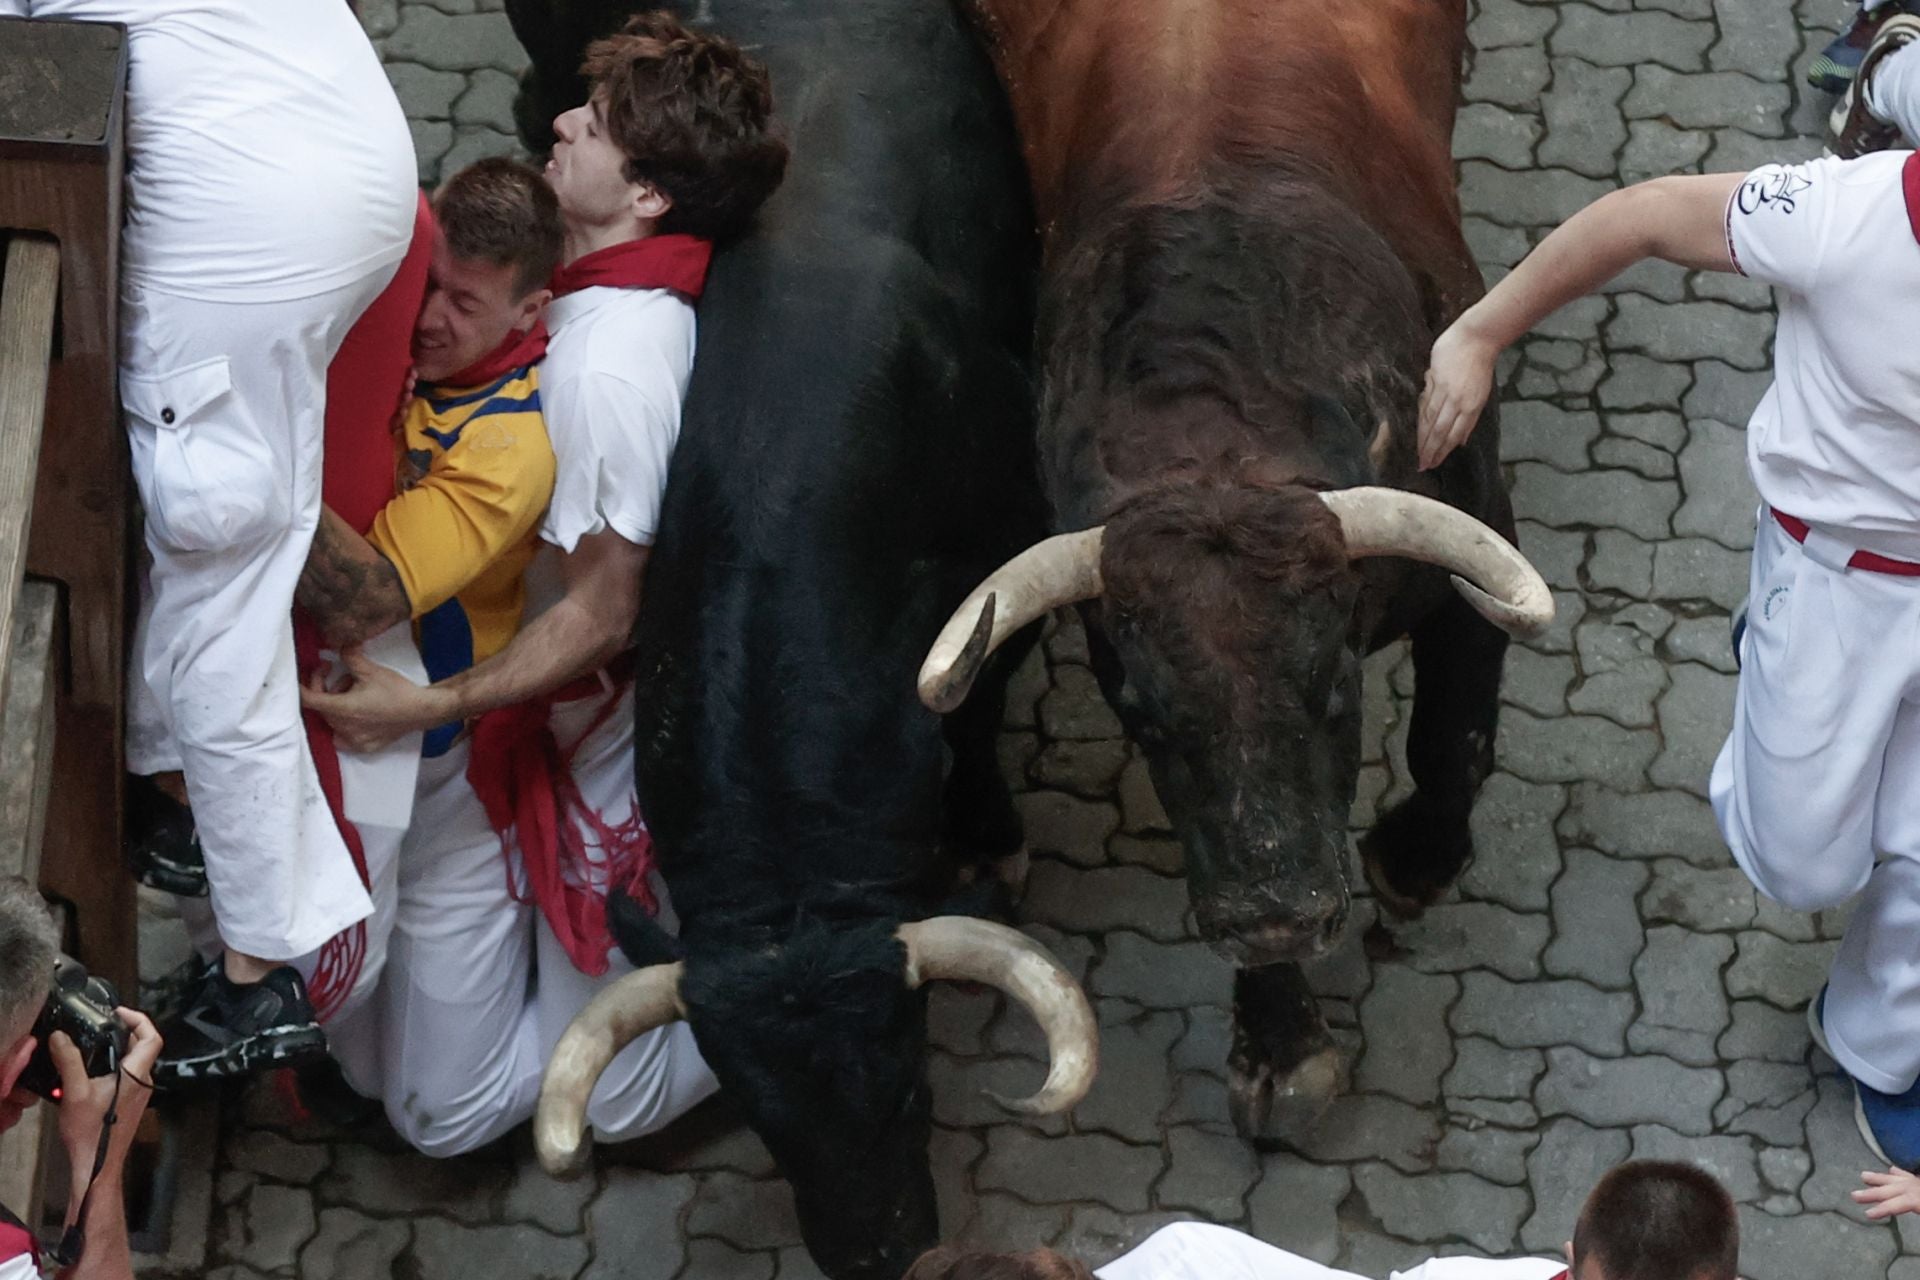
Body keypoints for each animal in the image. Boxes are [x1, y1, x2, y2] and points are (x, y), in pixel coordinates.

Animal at [503, 2, 1090, 1280]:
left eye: (909, 1080)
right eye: (766, 1123)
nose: (883, 1252)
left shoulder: (1012, 547)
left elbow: (976, 711)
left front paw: (991, 835)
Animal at [921, 0, 1551, 1143]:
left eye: (1334, 687)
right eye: (1144, 713)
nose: (1279, 915)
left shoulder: (1474, 550)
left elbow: (1454, 740)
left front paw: (1414, 860)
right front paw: (1283, 1041)